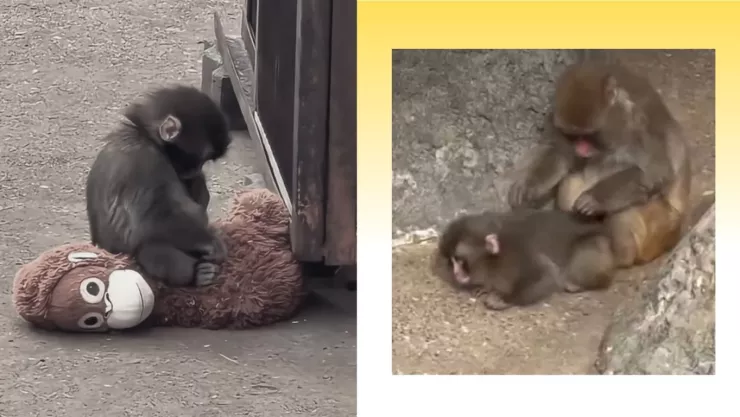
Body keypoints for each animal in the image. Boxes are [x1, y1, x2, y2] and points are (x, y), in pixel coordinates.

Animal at [86, 85, 232, 287]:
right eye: (201, 158)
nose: (197, 169)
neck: (144, 136)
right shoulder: (145, 162)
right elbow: (153, 220)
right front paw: (211, 243)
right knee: (150, 245)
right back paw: (196, 274)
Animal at [432, 209, 615, 310]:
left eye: (460, 260)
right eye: (451, 260)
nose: (456, 272)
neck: (494, 261)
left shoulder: (519, 254)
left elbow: (548, 275)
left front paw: (503, 299)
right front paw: (484, 287)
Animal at [507, 61, 691, 268]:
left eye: (589, 135)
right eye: (574, 135)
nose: (581, 149)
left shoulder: (638, 126)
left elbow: (656, 174)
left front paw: (596, 198)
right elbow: (560, 155)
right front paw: (529, 186)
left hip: (659, 225)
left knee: (623, 212)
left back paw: (618, 258)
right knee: (570, 184)